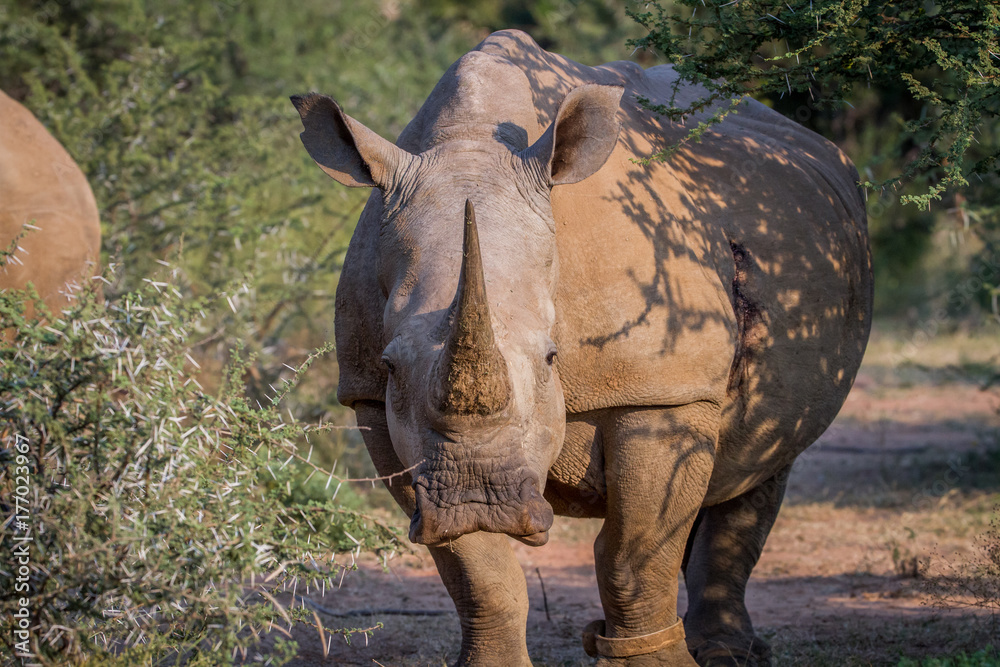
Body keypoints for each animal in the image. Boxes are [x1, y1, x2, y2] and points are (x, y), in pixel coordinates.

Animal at [292, 29, 871, 667]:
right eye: (392, 365)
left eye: (552, 359)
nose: (477, 499)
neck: (469, 144)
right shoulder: (372, 399)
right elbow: (479, 574)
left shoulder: (661, 389)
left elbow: (633, 554)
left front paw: (655, 662)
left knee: (760, 461)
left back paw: (726, 653)